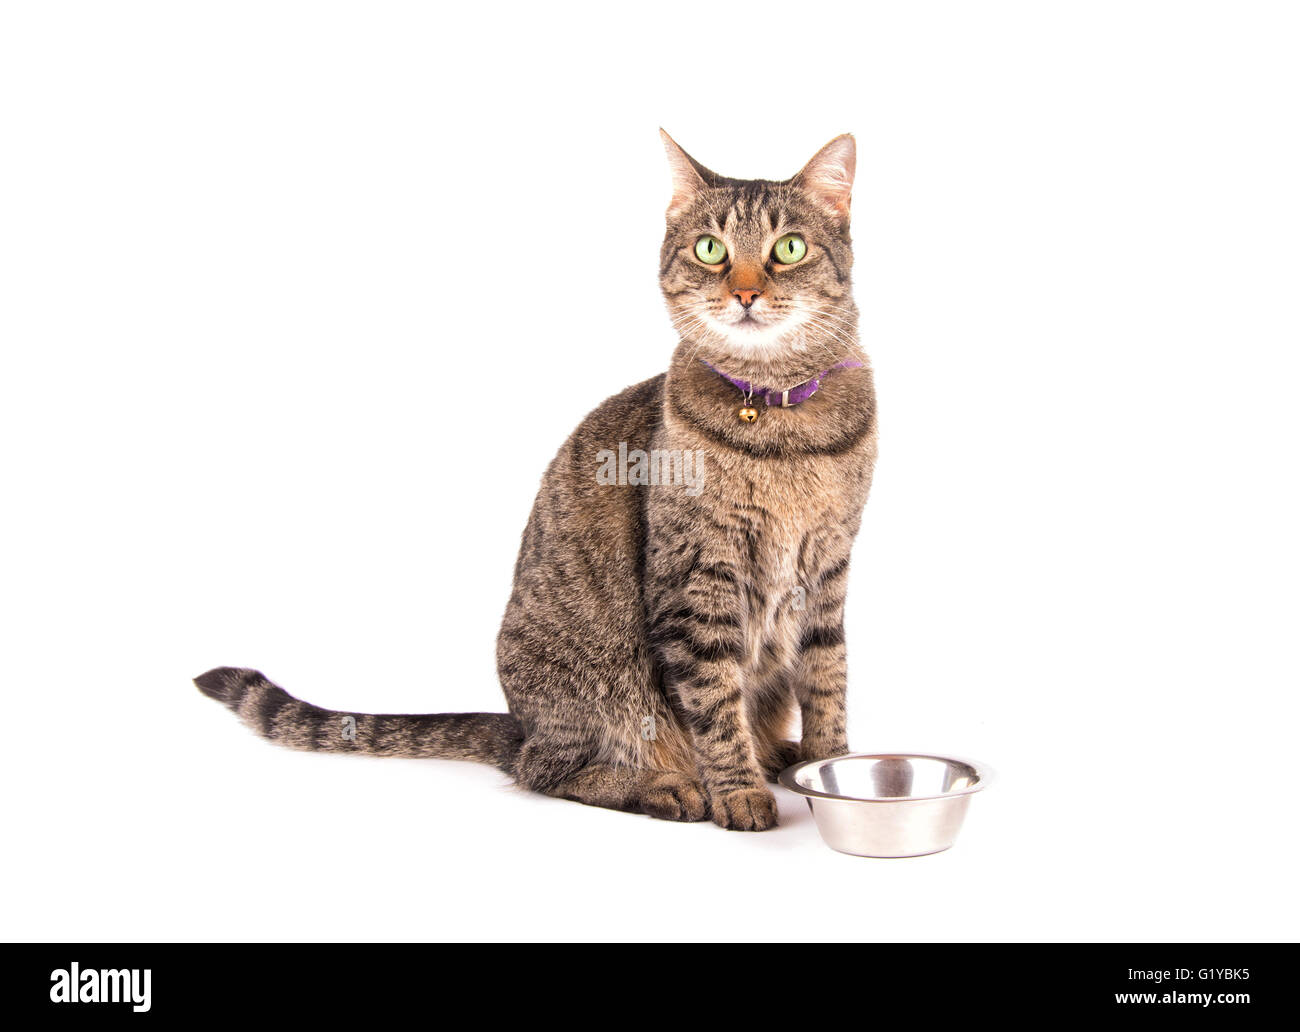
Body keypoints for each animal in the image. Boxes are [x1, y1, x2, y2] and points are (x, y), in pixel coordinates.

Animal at [200, 134, 873, 826]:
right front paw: (738, 791)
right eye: (710, 249)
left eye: (788, 248)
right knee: (544, 769)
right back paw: (665, 786)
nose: (744, 293)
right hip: (599, 686)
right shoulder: (696, 579)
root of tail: (522, 724)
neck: (778, 419)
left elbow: (827, 679)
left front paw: (828, 767)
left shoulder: (829, 569)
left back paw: (775, 753)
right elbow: (714, 703)